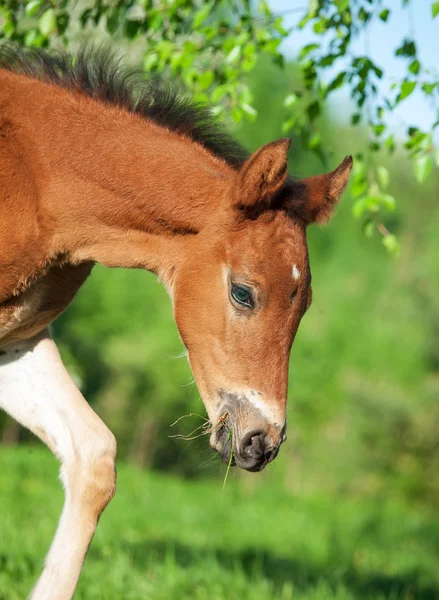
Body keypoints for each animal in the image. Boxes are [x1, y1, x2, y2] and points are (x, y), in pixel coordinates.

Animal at [0, 44, 352, 596]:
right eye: (243, 293)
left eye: (306, 304)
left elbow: (94, 457)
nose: (261, 441)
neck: (35, 176)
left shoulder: (18, 339)